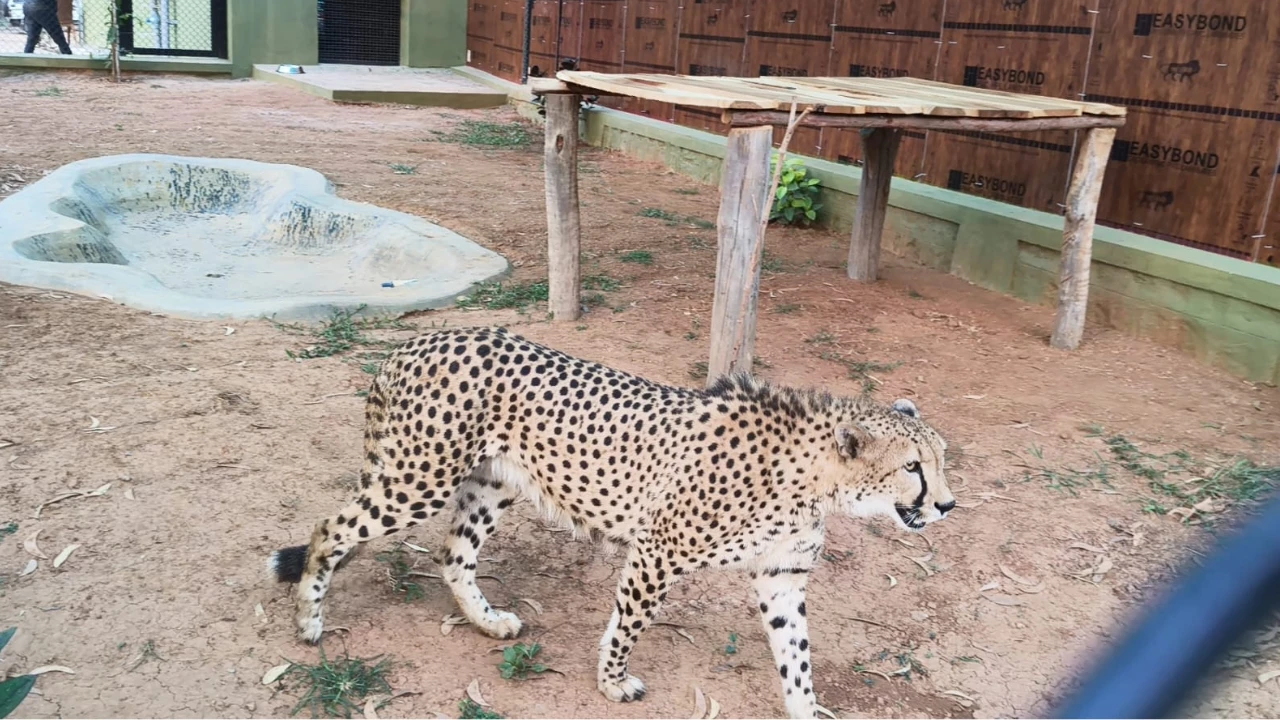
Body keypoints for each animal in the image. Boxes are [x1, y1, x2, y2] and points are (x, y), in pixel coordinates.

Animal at [268, 326, 956, 719]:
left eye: (942, 460)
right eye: (914, 467)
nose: (947, 505)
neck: (816, 480)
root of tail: (415, 341)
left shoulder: (780, 577)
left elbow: (797, 658)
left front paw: (806, 708)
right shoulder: (658, 549)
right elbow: (629, 623)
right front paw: (612, 683)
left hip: (492, 483)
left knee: (453, 554)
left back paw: (488, 622)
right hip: (419, 477)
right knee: (330, 529)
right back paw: (308, 620)